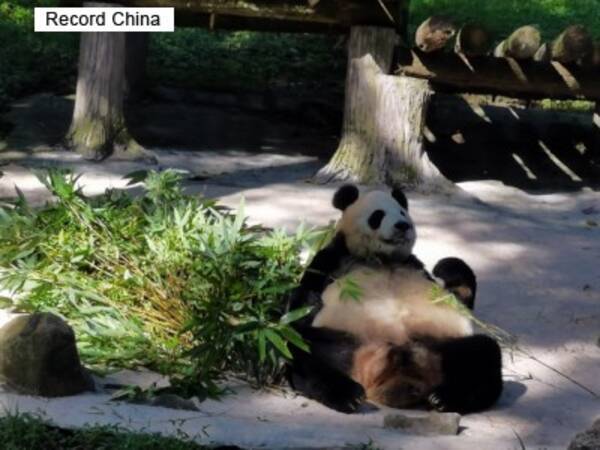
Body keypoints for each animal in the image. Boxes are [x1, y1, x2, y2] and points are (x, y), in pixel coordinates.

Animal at [286, 184, 502, 414]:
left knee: (483, 353)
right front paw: (310, 303)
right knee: (303, 349)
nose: (403, 226)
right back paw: (348, 395)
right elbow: (302, 301)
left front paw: (446, 267)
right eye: (378, 215)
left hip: (440, 345)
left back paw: (444, 398)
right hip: (345, 342)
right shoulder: (333, 258)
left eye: (402, 212)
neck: (382, 259)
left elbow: (460, 299)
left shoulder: (415, 265)